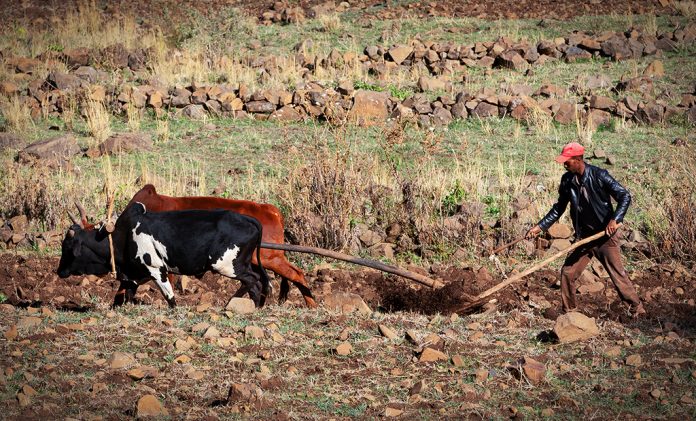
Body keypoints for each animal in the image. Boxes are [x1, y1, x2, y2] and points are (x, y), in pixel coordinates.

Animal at [58, 202, 271, 308]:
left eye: (67, 245)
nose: (59, 271)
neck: (123, 235)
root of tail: (249, 219)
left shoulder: (156, 270)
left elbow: (170, 299)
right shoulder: (134, 276)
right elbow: (123, 297)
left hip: (227, 266)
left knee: (253, 281)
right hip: (242, 264)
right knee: (258, 281)